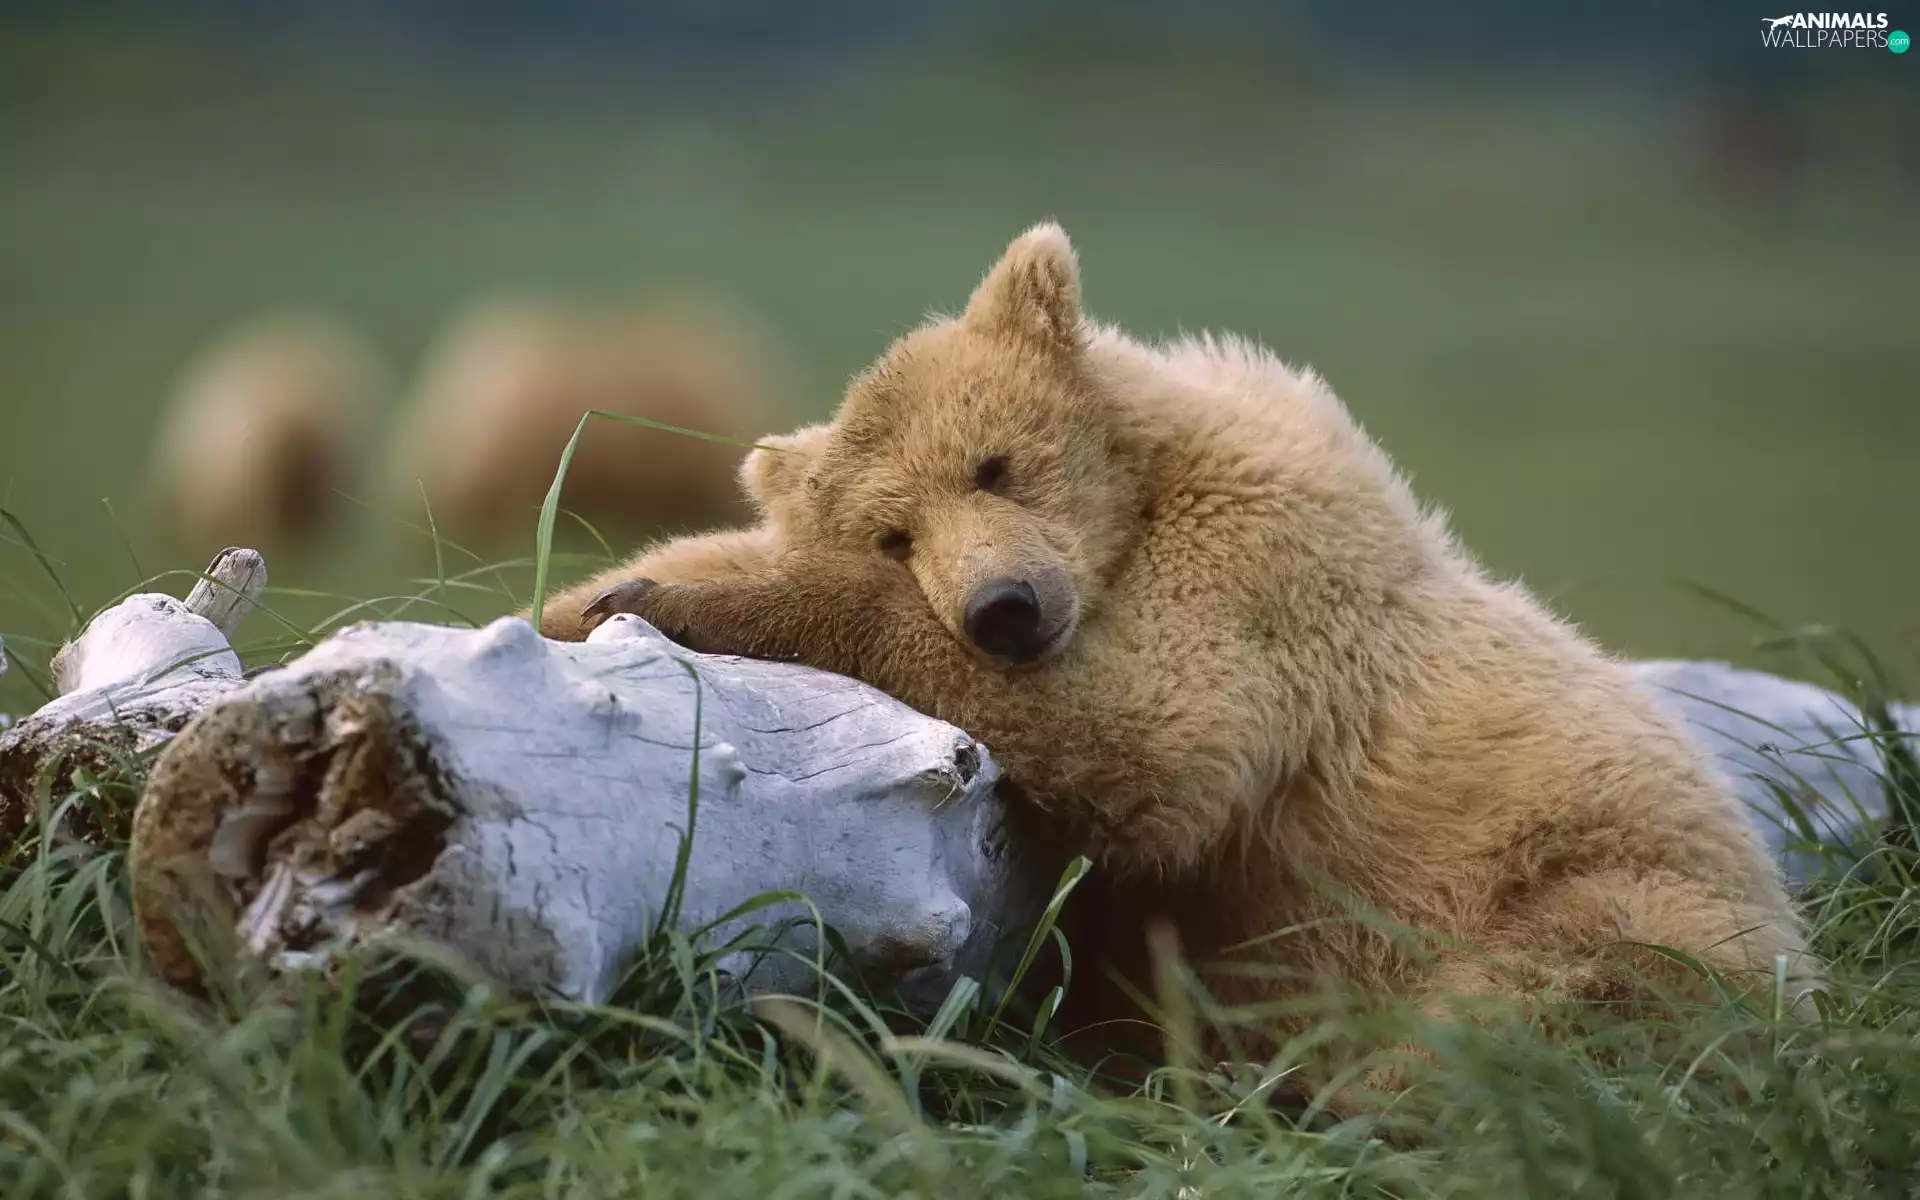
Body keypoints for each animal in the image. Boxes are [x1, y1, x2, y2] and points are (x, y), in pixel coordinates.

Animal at [534, 223, 1813, 1096]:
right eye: (895, 532)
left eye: (995, 464)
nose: (1004, 610)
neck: (1140, 504)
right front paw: (592, 592)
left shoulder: (1262, 575)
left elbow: (1152, 734)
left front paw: (679, 598)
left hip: (1605, 888)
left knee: (1539, 1002)